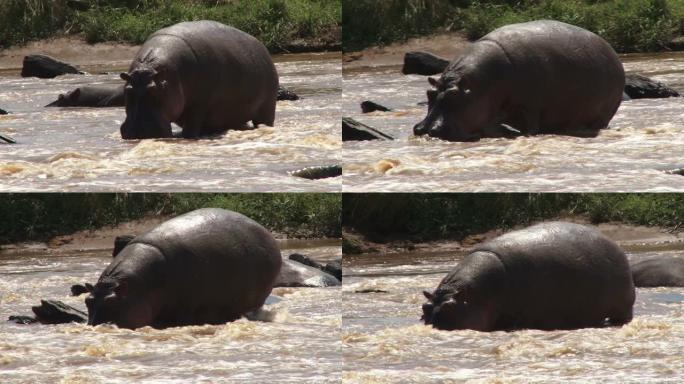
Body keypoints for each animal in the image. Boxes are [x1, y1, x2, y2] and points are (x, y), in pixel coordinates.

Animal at [120, 19, 278, 140]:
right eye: (127, 90)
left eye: (155, 91)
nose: (138, 132)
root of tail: (263, 47)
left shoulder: (199, 105)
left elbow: (191, 128)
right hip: (233, 113)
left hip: (267, 107)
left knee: (263, 121)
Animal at [412, 20, 624, 141]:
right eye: (429, 93)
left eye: (453, 95)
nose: (425, 129)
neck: (477, 86)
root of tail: (612, 51)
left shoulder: (530, 106)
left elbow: (531, 128)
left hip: (604, 113)